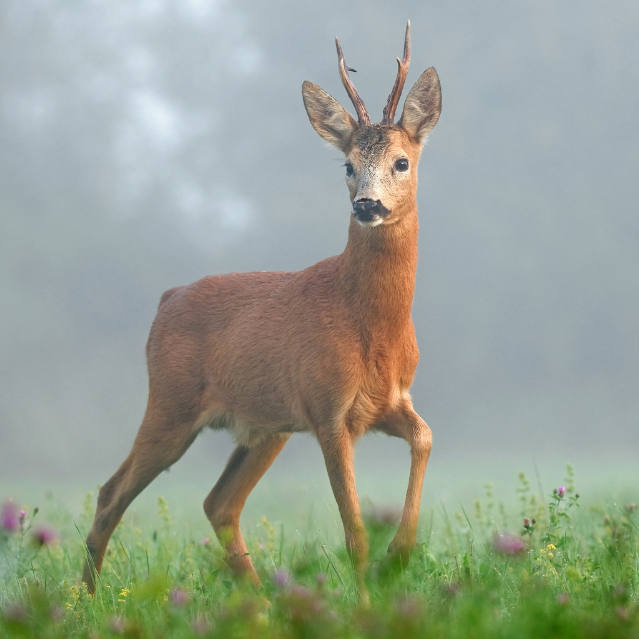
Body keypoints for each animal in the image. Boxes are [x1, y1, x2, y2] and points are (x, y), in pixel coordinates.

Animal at [84, 22, 440, 604]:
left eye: (402, 161)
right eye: (347, 165)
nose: (367, 205)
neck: (370, 326)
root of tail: (167, 298)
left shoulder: (389, 401)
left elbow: (425, 439)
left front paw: (400, 557)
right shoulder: (327, 410)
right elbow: (354, 532)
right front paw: (368, 605)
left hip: (265, 427)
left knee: (218, 502)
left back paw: (262, 603)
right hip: (171, 403)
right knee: (111, 492)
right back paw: (86, 604)